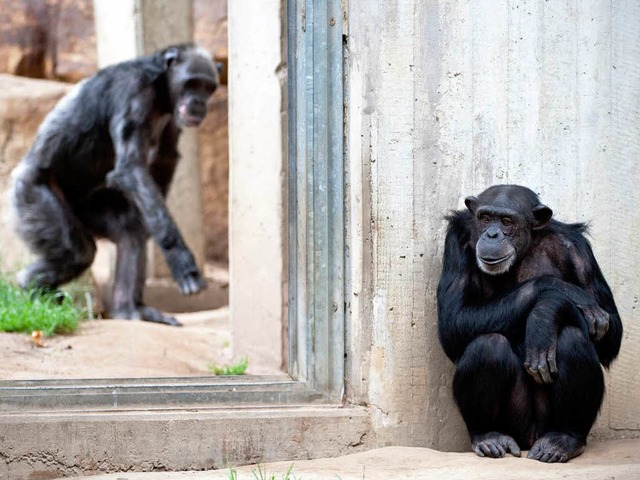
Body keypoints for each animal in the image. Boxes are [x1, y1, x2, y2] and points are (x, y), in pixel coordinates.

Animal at [10, 43, 218, 326]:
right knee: (77, 252)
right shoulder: (134, 92)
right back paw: (30, 286)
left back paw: (131, 309)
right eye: (192, 83)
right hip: (32, 196)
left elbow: (165, 158)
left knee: (129, 231)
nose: (198, 101)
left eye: (207, 87)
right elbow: (130, 167)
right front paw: (180, 258)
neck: (161, 90)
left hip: (90, 210)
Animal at [438, 184, 624, 462]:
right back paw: (488, 436)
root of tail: (530, 439)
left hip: (545, 423)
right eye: (485, 218)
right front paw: (559, 292)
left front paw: (546, 313)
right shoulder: (456, 241)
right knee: (488, 344)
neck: (524, 250)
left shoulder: (579, 252)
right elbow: (452, 320)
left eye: (507, 221)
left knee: (572, 339)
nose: (492, 234)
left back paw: (562, 439)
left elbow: (610, 330)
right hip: (515, 422)